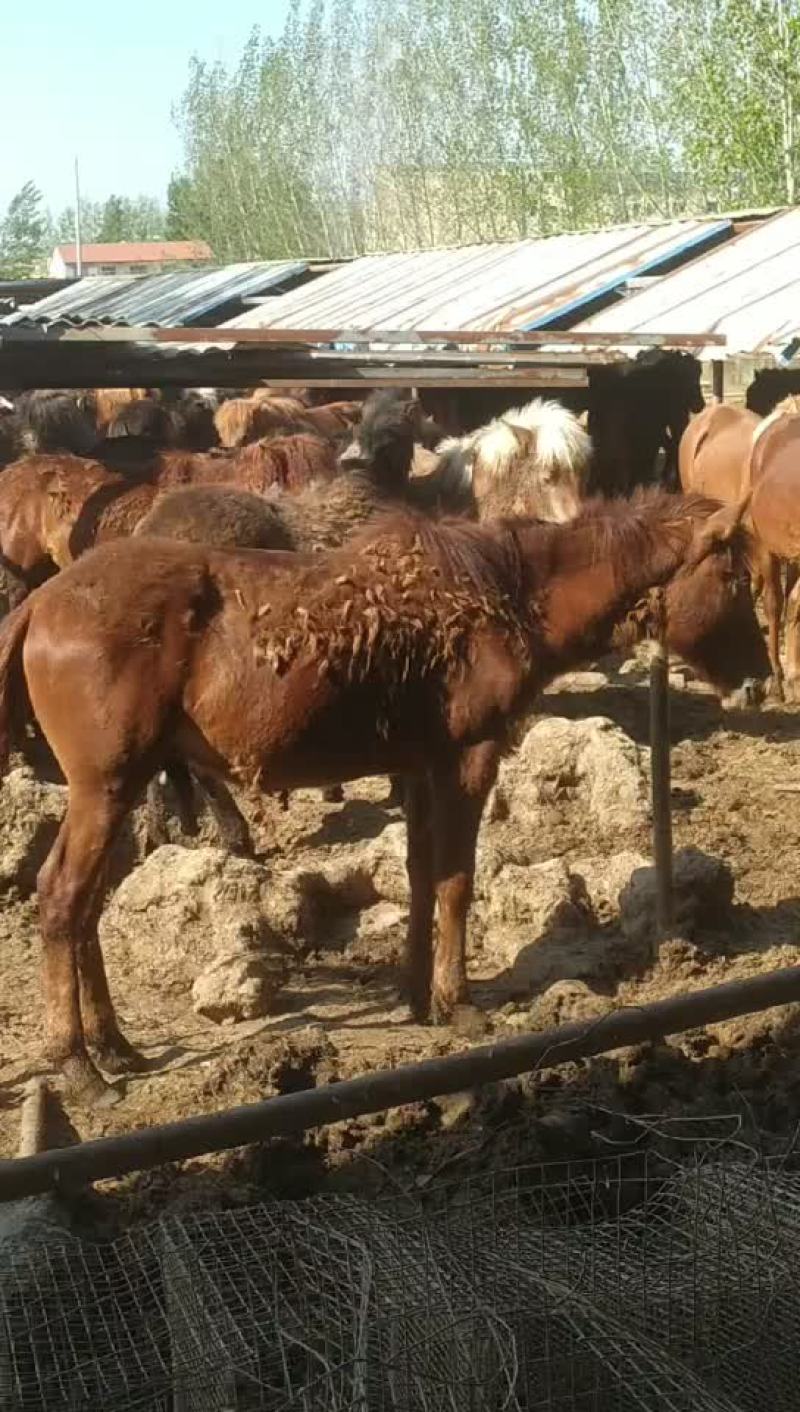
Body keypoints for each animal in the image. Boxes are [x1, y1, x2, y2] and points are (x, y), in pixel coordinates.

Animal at [0, 489, 768, 1101]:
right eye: (733, 576)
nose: (761, 679)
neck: (513, 596)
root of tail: (38, 604)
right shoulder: (466, 758)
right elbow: (456, 881)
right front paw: (458, 1002)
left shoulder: (420, 766)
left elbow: (422, 877)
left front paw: (417, 993)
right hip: (105, 786)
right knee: (63, 898)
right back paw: (79, 1067)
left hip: (119, 789)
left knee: (85, 907)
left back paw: (115, 1046)